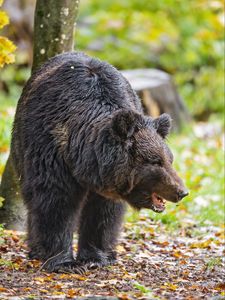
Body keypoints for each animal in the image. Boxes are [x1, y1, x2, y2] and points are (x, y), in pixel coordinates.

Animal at [11, 52, 189, 274]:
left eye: (169, 159)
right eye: (155, 161)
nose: (182, 192)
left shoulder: (107, 185)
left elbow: (102, 213)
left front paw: (95, 257)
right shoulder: (49, 149)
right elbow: (55, 202)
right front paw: (64, 262)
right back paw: (36, 250)